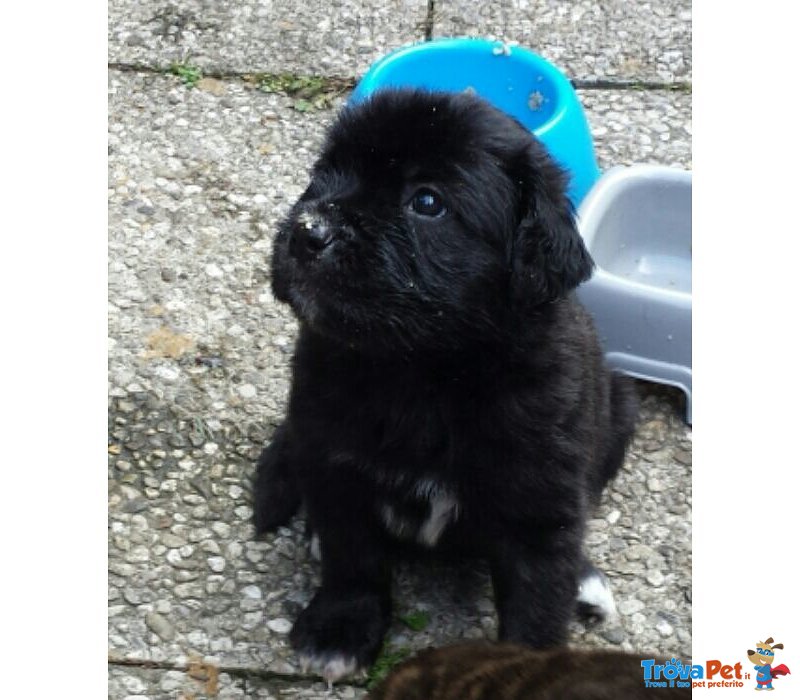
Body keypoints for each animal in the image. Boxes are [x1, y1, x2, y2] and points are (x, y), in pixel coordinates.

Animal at [256, 89, 636, 684]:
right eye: (322, 175)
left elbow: (538, 603)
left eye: (428, 202)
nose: (307, 231)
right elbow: (352, 555)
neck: (425, 374)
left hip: (617, 410)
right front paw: (339, 630)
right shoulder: (331, 458)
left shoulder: (541, 501)